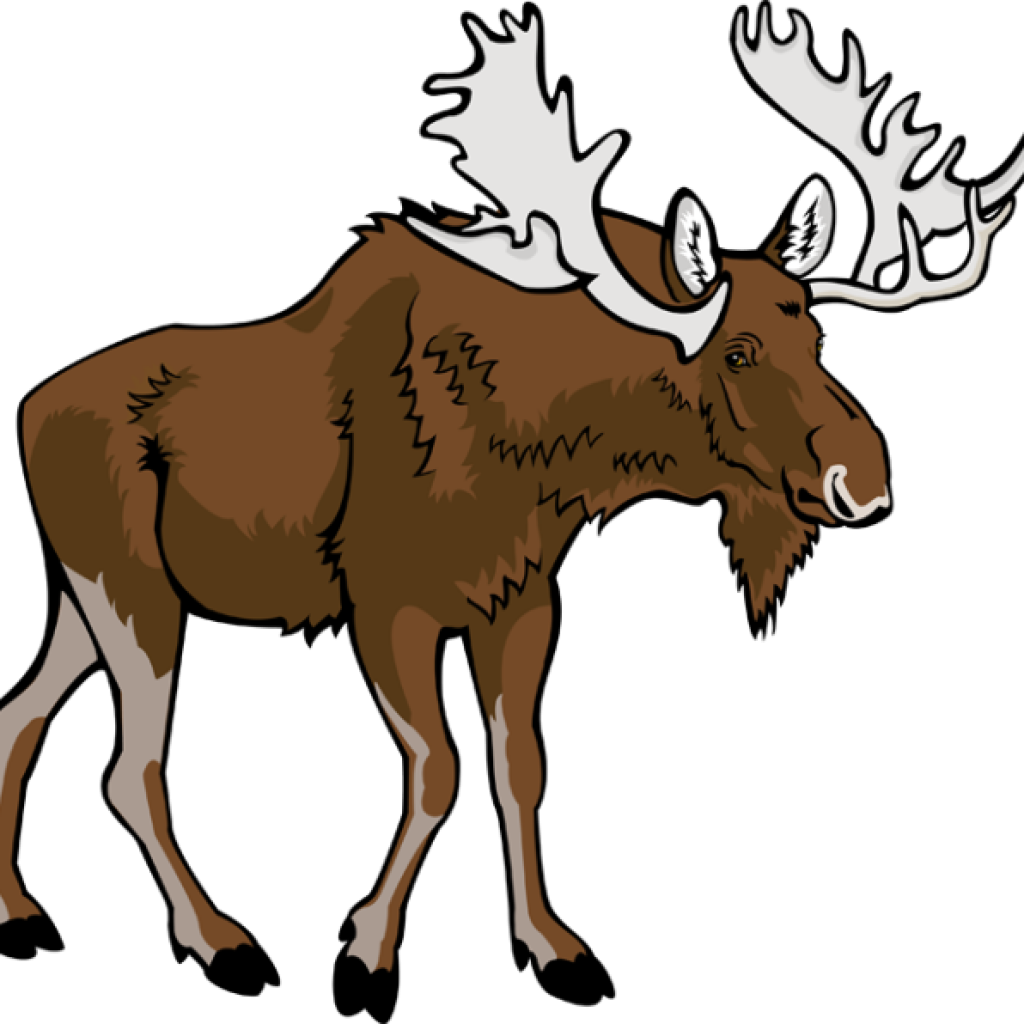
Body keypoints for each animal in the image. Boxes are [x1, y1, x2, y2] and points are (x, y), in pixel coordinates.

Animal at [1, 8, 1020, 1021]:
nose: (864, 477)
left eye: (817, 334)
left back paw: (21, 910)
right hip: (130, 589)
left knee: (20, 713)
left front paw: (552, 946)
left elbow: (518, 767)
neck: (546, 441)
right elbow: (438, 772)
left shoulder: (520, 597)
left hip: (86, 600)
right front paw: (367, 949)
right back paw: (220, 940)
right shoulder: (387, 604)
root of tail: (27, 410)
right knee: (129, 769)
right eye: (738, 351)